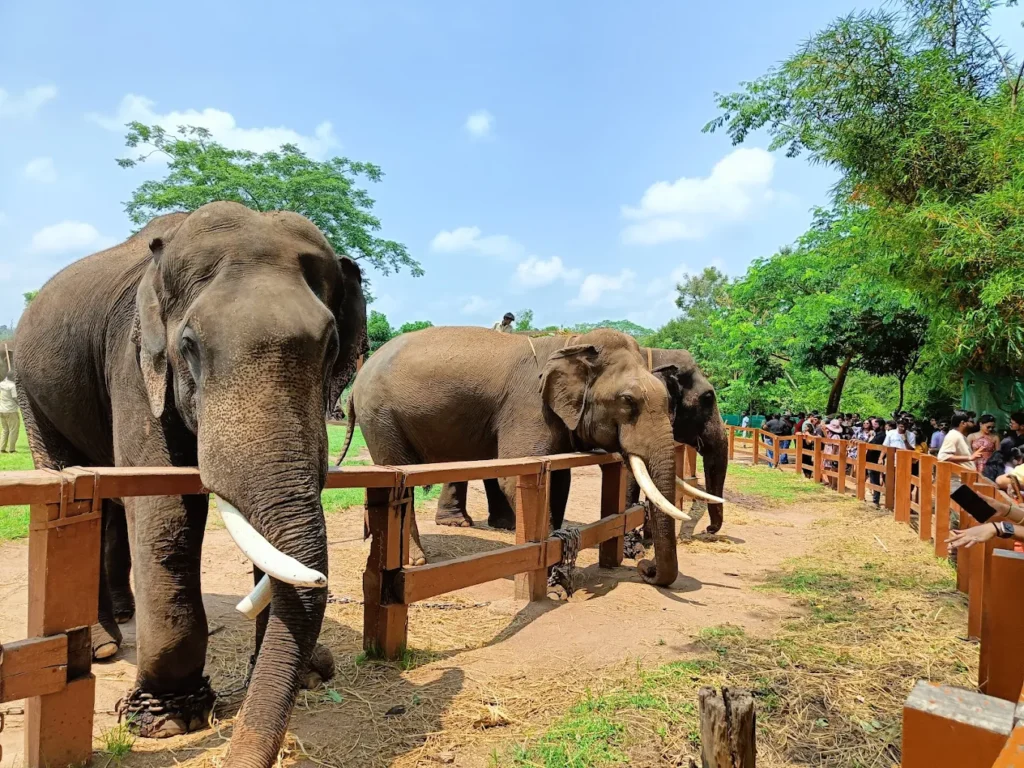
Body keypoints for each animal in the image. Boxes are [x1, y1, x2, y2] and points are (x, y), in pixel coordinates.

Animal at [15, 201, 366, 768]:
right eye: (190, 345)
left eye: (332, 345)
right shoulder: (134, 363)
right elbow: (165, 514)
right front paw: (164, 721)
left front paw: (309, 676)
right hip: (30, 390)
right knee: (73, 479)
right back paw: (102, 646)